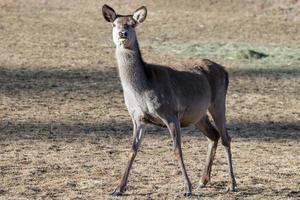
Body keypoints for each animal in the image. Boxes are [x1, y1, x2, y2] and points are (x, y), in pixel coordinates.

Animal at [102, 4, 237, 197]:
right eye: (114, 24)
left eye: (133, 24)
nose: (123, 33)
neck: (142, 90)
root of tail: (225, 71)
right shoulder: (137, 118)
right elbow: (132, 150)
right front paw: (118, 188)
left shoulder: (171, 113)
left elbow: (177, 149)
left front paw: (187, 188)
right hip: (198, 114)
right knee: (214, 135)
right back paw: (203, 181)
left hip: (218, 101)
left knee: (226, 137)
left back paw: (232, 184)